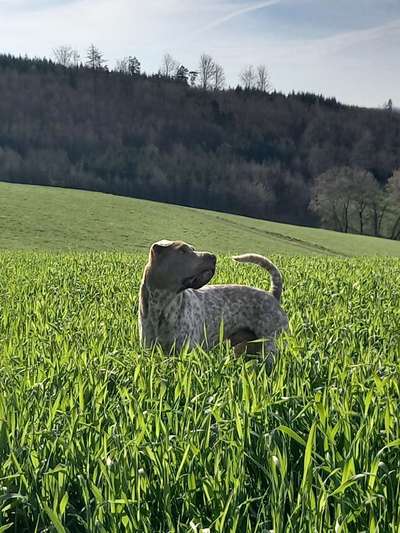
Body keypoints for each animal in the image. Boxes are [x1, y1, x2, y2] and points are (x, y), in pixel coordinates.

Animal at [138, 239, 288, 356]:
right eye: (182, 250)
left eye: (192, 249)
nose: (213, 256)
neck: (162, 306)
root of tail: (273, 295)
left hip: (269, 345)